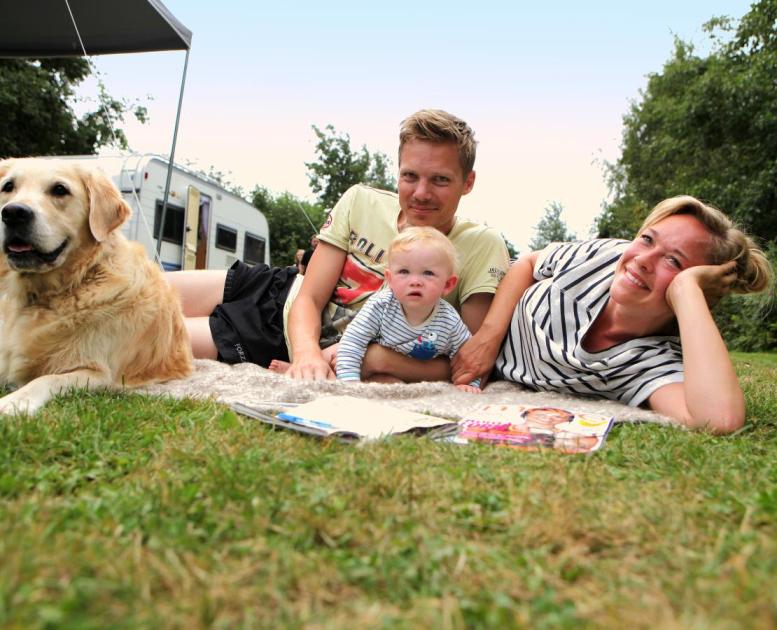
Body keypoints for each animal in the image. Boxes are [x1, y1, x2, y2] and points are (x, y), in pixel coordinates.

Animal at [0, 158, 192, 414]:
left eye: (60, 189)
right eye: (8, 186)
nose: (13, 213)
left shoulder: (99, 373)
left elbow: (48, 378)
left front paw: (13, 402)